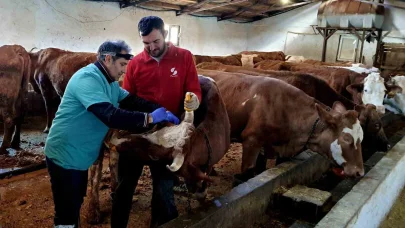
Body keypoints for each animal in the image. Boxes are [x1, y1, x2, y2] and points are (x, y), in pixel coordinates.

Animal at [86, 76, 229, 223]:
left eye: (154, 156)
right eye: (158, 125)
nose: (117, 137)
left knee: (113, 162)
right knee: (95, 172)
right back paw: (94, 211)